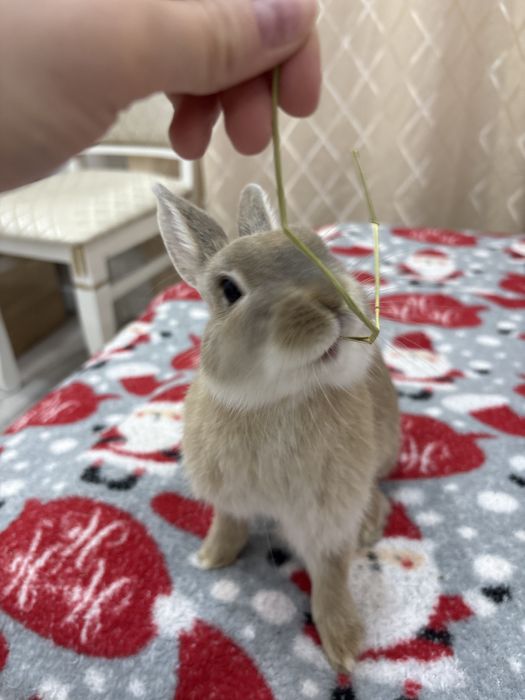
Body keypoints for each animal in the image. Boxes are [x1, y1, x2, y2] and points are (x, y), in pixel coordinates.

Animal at [154, 182, 400, 673]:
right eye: (229, 289)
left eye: (320, 247)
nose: (332, 299)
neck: (277, 399)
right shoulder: (228, 495)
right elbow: (229, 523)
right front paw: (211, 557)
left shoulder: (327, 515)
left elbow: (330, 572)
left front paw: (344, 646)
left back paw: (370, 527)